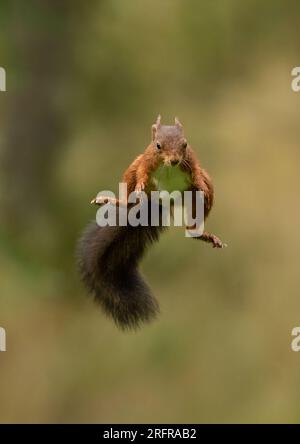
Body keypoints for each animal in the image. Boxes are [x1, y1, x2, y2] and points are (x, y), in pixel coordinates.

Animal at [77, 116, 225, 332]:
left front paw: (199, 183)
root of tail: (160, 201)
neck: (169, 166)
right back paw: (114, 200)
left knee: (197, 212)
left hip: (198, 191)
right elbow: (142, 173)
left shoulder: (192, 161)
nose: (174, 160)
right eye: (157, 145)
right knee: (128, 197)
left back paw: (202, 233)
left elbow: (196, 172)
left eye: (185, 144)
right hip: (132, 168)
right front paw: (139, 185)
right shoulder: (146, 161)